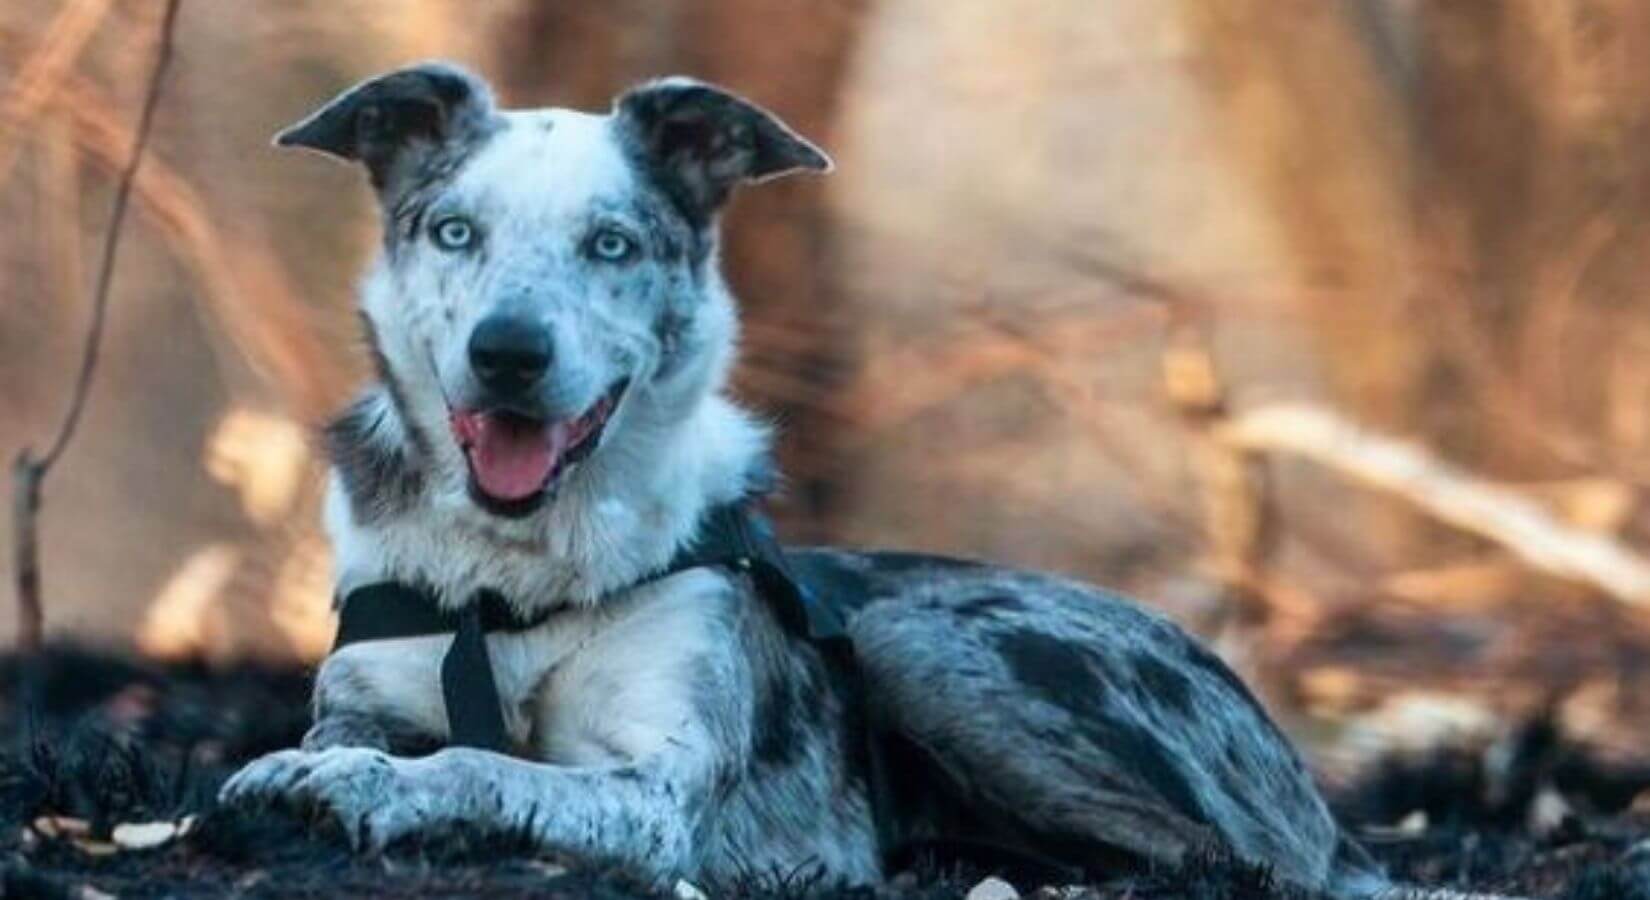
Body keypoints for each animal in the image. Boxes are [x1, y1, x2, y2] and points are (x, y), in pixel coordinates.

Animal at [222, 61, 1471, 891]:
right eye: (453, 231)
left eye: (611, 244)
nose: (509, 354)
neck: (519, 573)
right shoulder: (369, 694)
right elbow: (374, 739)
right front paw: (324, 773)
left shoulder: (656, 796)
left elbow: (483, 766)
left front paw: (368, 791)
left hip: (917, 642)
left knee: (1238, 864)